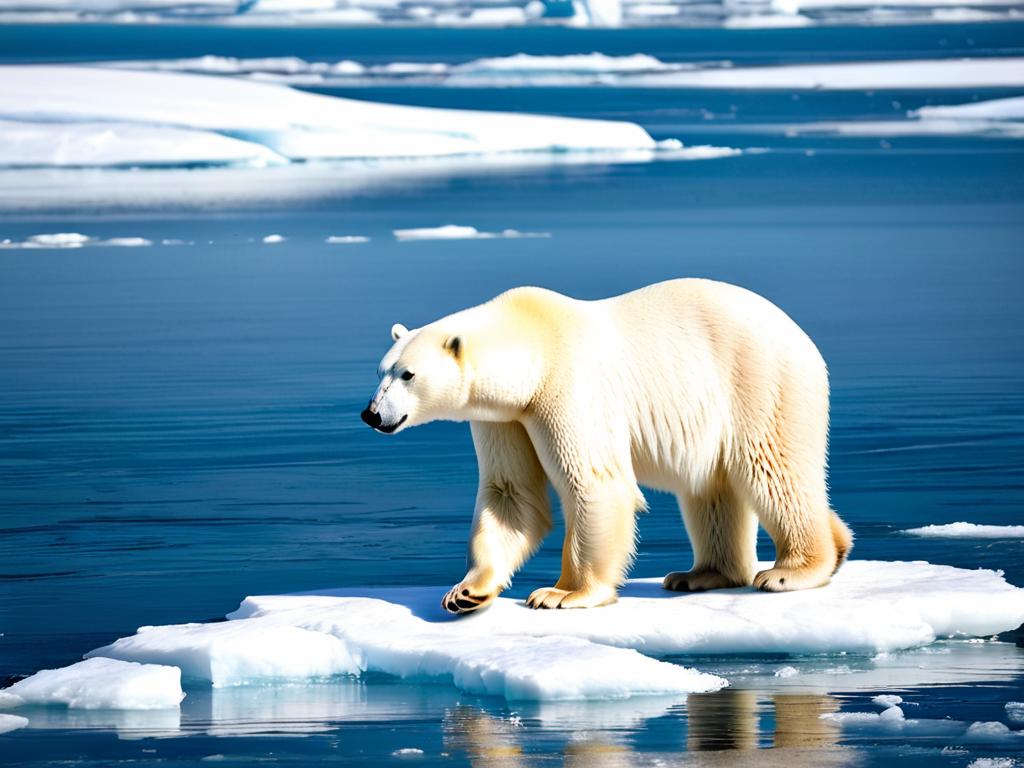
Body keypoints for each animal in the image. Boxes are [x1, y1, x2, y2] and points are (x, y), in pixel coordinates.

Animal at [364, 280, 851, 618]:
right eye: (382, 370)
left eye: (407, 374)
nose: (371, 414)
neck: (534, 345)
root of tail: (802, 337)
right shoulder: (504, 417)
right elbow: (511, 495)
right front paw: (465, 593)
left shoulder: (567, 388)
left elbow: (593, 483)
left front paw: (561, 594)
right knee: (710, 489)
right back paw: (702, 574)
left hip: (760, 382)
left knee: (771, 470)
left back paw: (793, 569)